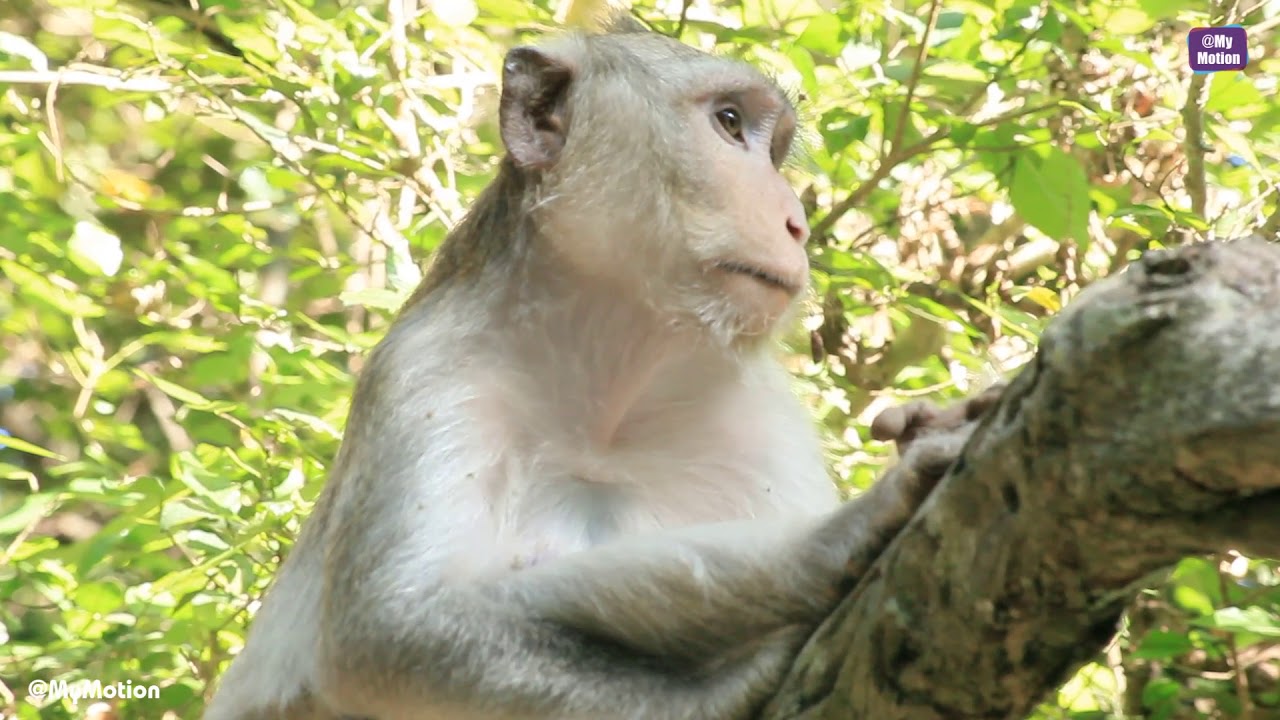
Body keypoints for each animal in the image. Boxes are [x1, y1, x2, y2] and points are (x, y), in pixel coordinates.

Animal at [203, 17, 1002, 720]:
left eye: (769, 150)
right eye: (729, 124)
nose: (795, 222)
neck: (606, 390)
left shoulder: (760, 418)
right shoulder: (426, 374)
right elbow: (391, 633)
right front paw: (835, 540)